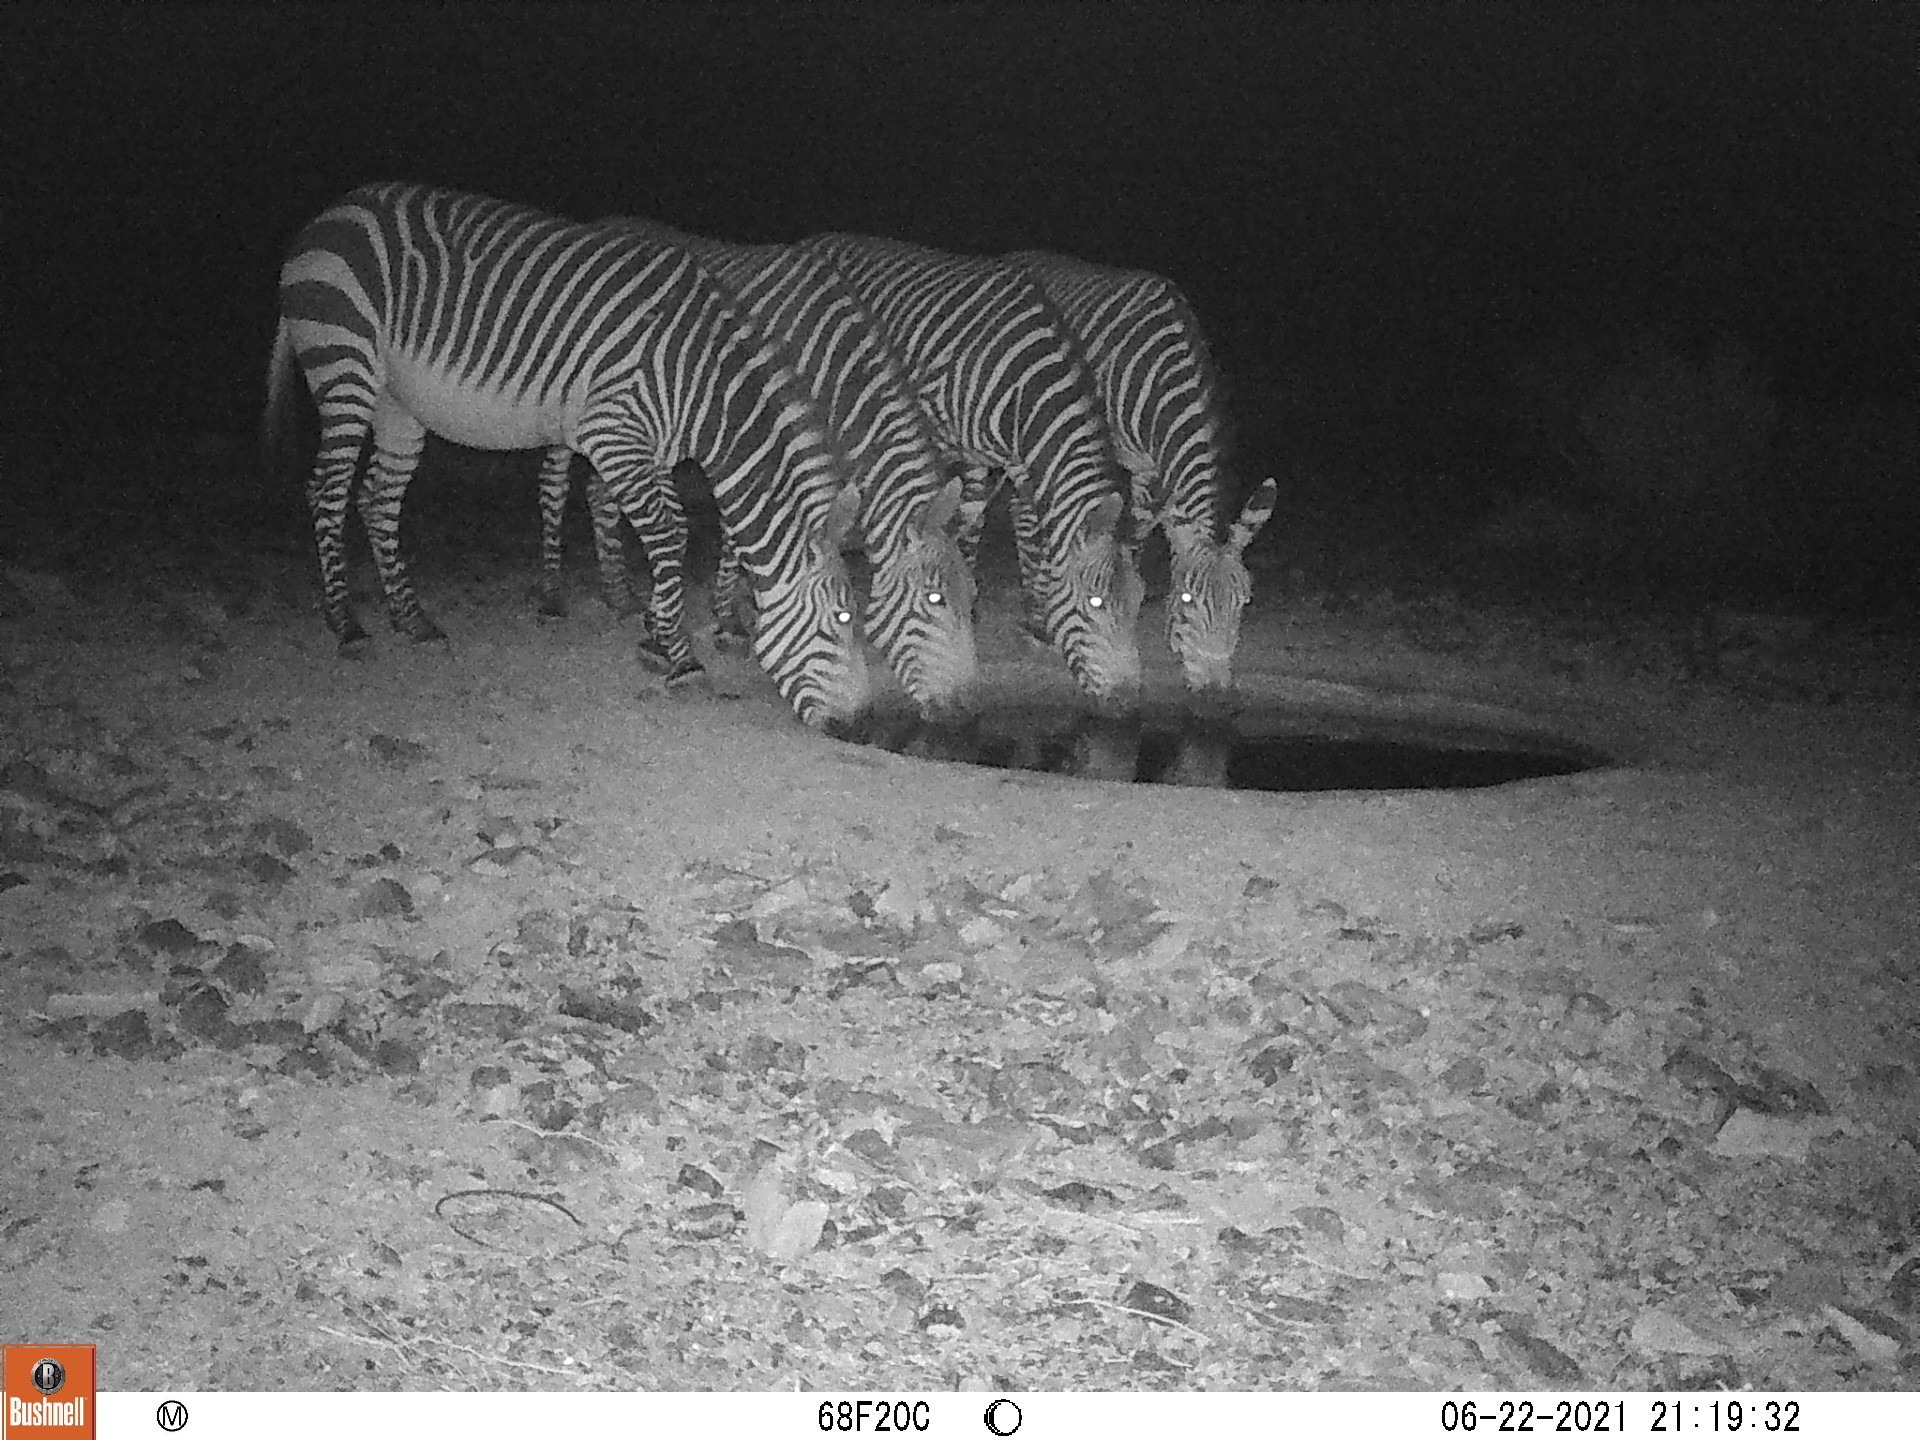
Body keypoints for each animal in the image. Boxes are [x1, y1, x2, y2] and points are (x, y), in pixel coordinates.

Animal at [263, 183, 871, 733]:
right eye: (841, 619)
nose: (858, 728)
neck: (703, 386)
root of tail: (329, 214)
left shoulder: (651, 449)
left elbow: (667, 533)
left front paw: (655, 634)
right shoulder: (614, 434)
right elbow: (669, 534)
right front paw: (681, 656)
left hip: (398, 403)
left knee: (378, 501)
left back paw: (411, 620)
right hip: (344, 362)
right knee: (327, 492)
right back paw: (347, 625)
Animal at [545, 221, 983, 721]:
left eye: (973, 600)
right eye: (935, 600)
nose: (966, 712)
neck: (832, 372)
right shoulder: (753, 435)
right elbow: (744, 534)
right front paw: (722, 622)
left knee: (600, 492)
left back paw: (619, 595)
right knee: (555, 483)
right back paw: (554, 594)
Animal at [791, 231, 1136, 710]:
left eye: (1138, 603)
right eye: (1097, 603)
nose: (1127, 701)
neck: (1022, 387)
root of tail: (819, 239)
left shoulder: (1010, 459)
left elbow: (999, 526)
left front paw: (1030, 618)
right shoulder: (940, 431)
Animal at [990, 255, 1274, 698]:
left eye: (1244, 602)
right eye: (1190, 600)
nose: (1214, 692)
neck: (1165, 381)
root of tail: (1018, 257)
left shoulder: (1151, 469)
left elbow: (1141, 540)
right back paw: (1036, 618)